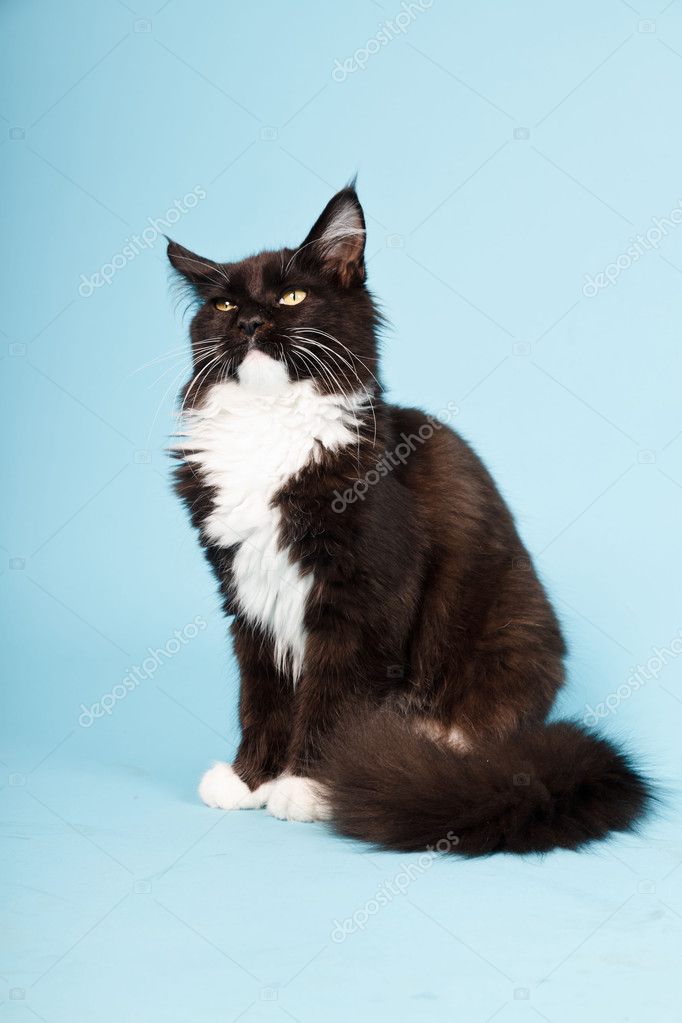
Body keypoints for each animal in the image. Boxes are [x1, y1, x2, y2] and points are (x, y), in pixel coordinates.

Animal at [166, 184, 650, 855]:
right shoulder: (246, 595)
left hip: (509, 633)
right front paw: (250, 778)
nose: (251, 322)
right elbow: (260, 697)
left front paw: (307, 785)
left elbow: (333, 697)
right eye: (225, 303)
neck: (272, 428)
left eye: (292, 297)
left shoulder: (364, 598)